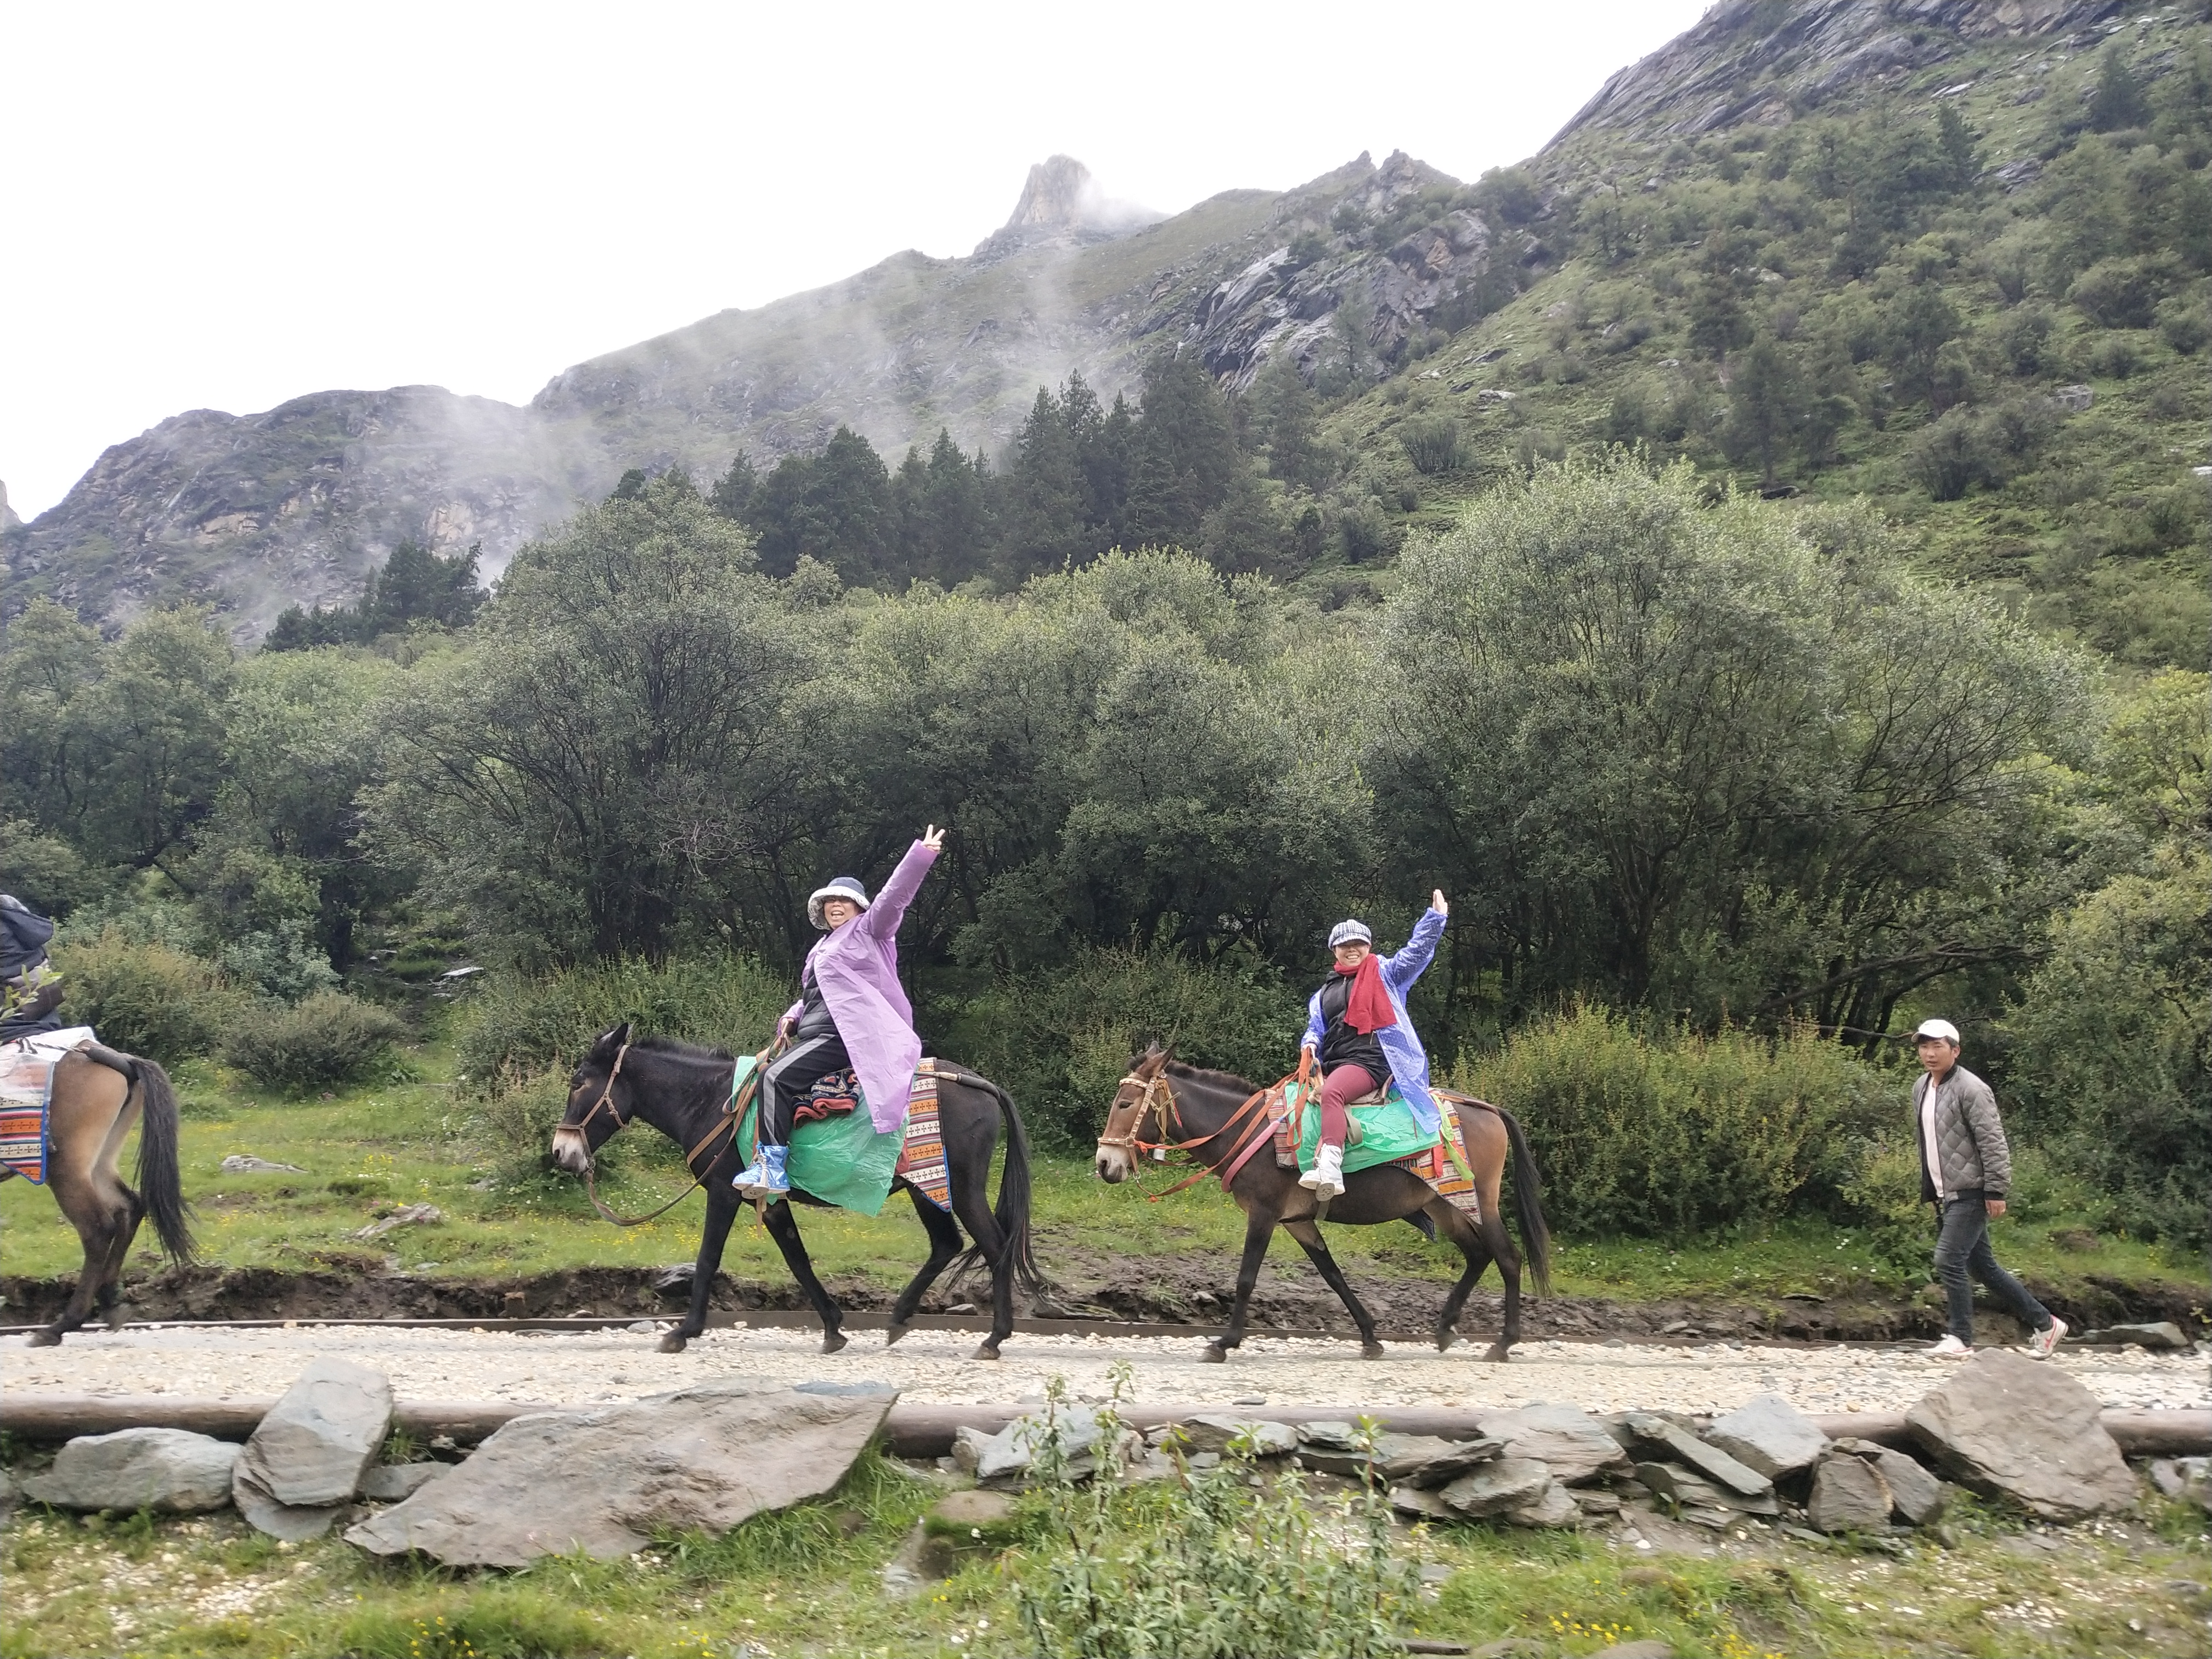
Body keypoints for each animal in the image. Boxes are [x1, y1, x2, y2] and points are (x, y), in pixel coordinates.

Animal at [0, 1040, 194, 1346]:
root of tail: (120, 1059)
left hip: (68, 1171)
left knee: (98, 1229)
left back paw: (63, 1324)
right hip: (100, 1163)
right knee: (130, 1207)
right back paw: (109, 1300)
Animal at [551, 1023, 1043, 1360]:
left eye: (578, 1082)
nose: (561, 1151)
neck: (712, 1102)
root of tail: (981, 1085)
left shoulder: (724, 1193)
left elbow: (708, 1259)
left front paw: (684, 1331)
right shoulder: (768, 1202)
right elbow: (797, 1259)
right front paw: (833, 1328)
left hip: (957, 1188)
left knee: (994, 1246)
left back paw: (994, 1338)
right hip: (928, 1190)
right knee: (947, 1245)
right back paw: (901, 1318)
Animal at [1093, 1045, 1551, 1363]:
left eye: (1125, 1104)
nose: (1104, 1163)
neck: (1248, 1132)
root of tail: (1487, 1108)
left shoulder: (1264, 1215)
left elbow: (1246, 1279)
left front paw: (1225, 1342)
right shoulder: (1298, 1222)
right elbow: (1333, 1275)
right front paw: (1370, 1338)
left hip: (1480, 1202)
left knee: (1507, 1258)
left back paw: (1503, 1342)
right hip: (1444, 1205)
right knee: (1477, 1256)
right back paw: (1445, 1329)